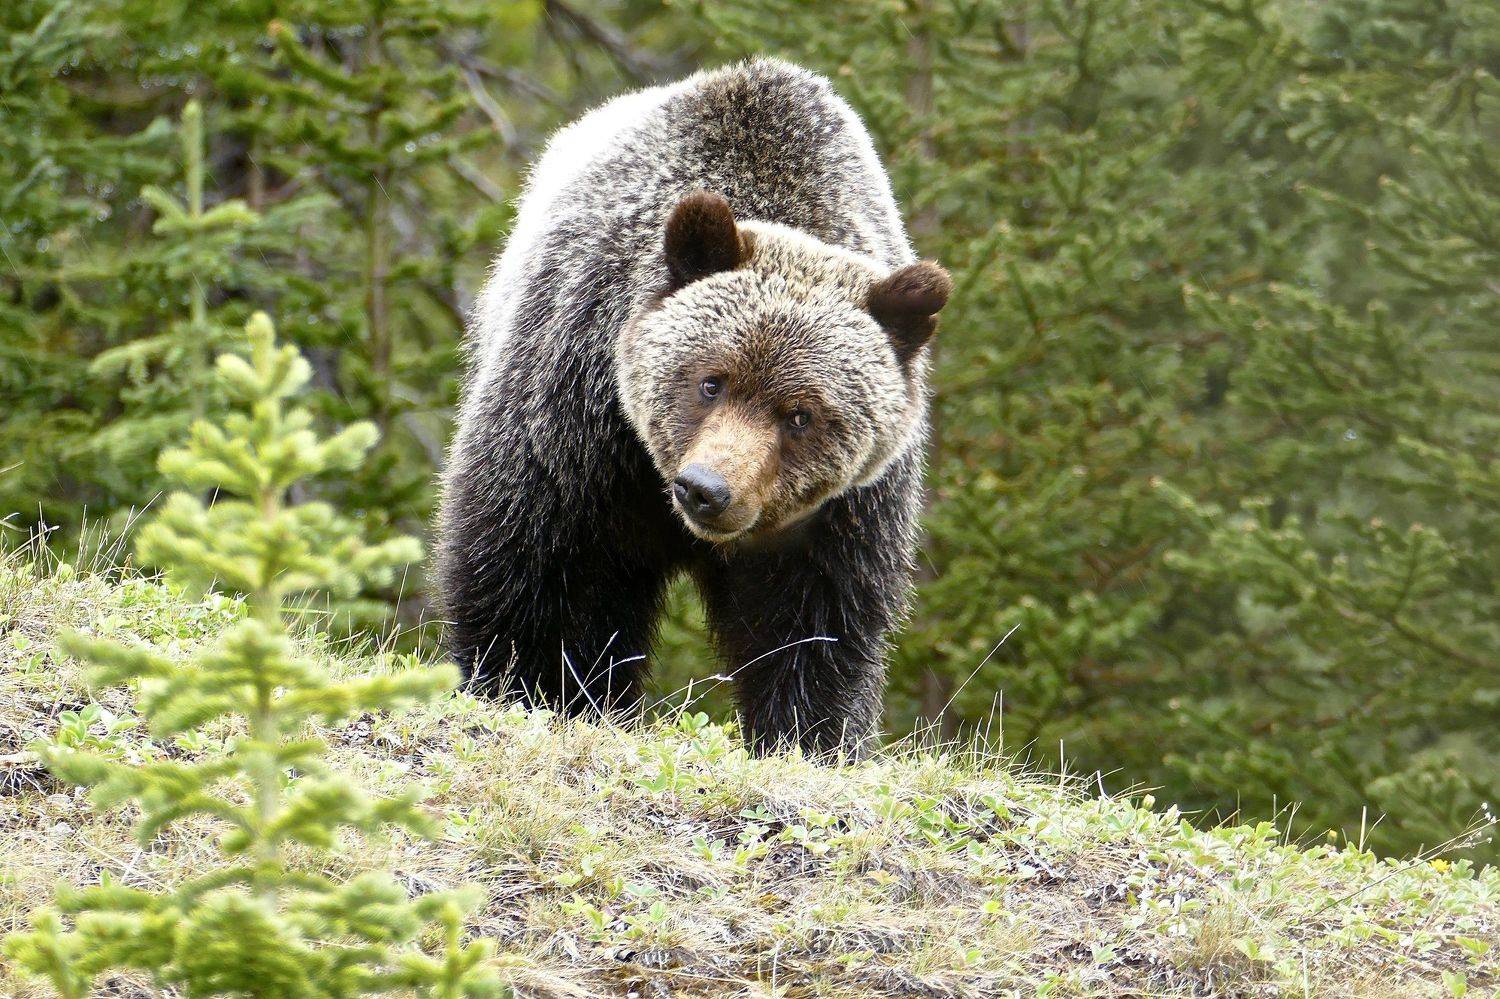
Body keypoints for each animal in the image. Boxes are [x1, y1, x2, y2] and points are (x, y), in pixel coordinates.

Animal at [436, 58, 951, 756]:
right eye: (712, 381)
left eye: (801, 414)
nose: (707, 489)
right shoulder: (578, 423)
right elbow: (539, 564)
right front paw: (537, 688)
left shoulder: (841, 513)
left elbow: (814, 623)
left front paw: (808, 733)